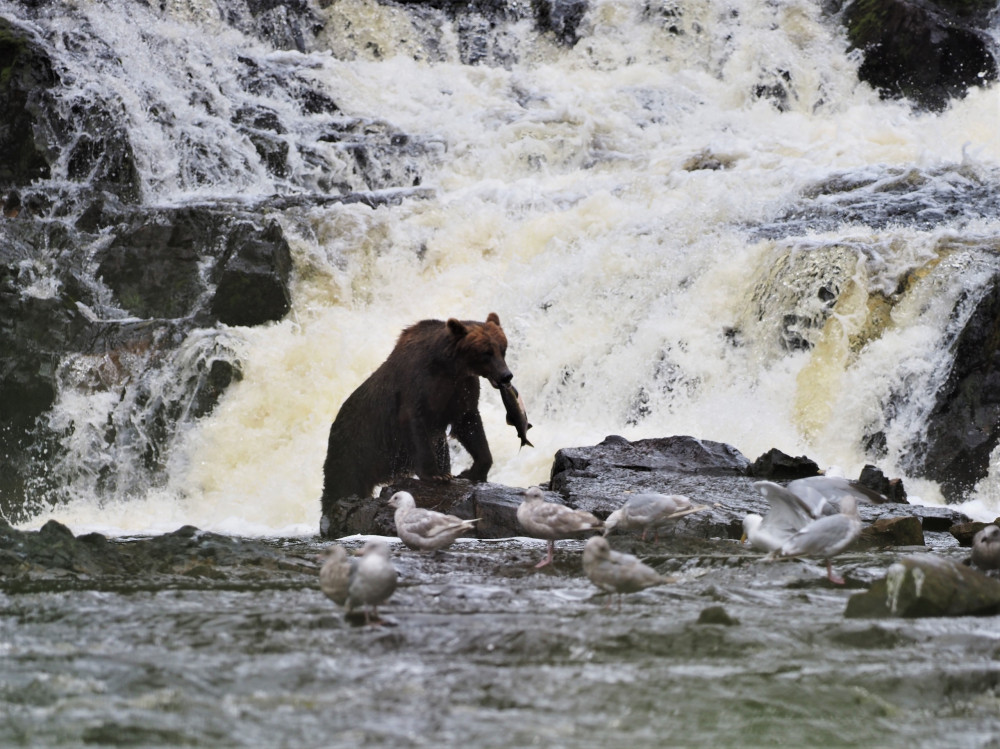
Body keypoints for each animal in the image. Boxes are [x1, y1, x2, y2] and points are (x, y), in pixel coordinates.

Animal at [320, 312, 512, 536]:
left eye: (503, 348)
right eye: (486, 352)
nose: (506, 375)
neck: (449, 367)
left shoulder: (462, 389)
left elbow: (469, 424)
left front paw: (471, 471)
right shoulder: (417, 385)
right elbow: (415, 425)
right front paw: (437, 475)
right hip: (353, 450)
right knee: (342, 484)